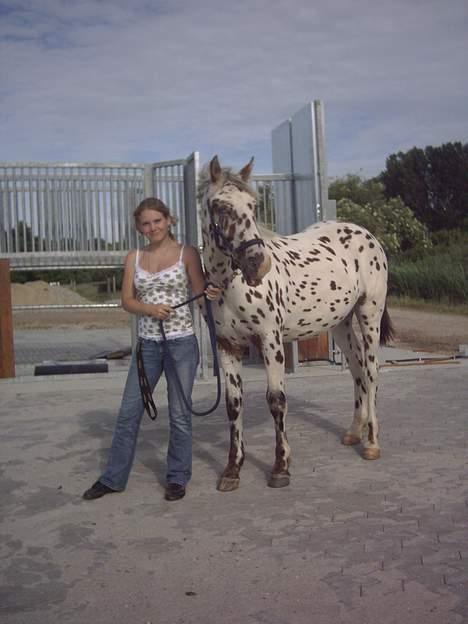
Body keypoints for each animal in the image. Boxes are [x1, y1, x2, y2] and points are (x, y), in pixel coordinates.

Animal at [199, 156, 394, 492]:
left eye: (253, 206)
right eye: (220, 206)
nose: (257, 263)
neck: (230, 284)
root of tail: (364, 234)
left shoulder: (270, 340)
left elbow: (277, 400)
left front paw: (281, 467)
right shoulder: (227, 346)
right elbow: (233, 405)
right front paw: (232, 470)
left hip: (369, 314)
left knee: (371, 371)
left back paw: (371, 442)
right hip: (341, 324)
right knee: (356, 370)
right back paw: (353, 432)